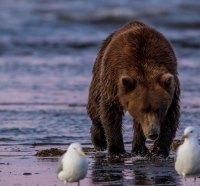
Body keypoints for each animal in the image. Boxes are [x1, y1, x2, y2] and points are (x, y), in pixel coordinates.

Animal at [86, 21, 180, 158]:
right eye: (142, 109)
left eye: (159, 109)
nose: (153, 133)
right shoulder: (113, 79)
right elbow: (110, 110)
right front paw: (117, 151)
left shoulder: (172, 85)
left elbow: (171, 115)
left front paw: (159, 151)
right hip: (99, 70)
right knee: (95, 106)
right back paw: (100, 141)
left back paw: (139, 149)